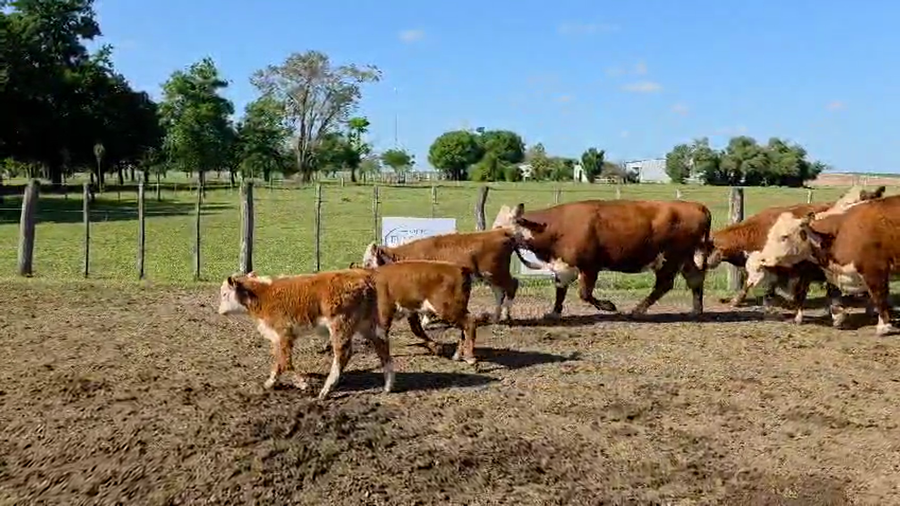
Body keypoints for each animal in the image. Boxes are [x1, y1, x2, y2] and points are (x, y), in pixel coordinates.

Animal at [217, 270, 392, 400]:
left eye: (224, 294)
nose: (219, 311)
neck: (263, 295)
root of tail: (363, 278)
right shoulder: (277, 337)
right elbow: (279, 360)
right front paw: (270, 382)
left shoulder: (284, 334)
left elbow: (285, 361)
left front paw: (302, 383)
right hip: (368, 325)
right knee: (382, 346)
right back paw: (388, 385)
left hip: (340, 325)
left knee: (343, 354)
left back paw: (326, 390)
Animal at [361, 228, 536, 324]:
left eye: (368, 263)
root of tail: (502, 232)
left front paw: (425, 321)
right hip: (490, 276)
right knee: (499, 292)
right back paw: (495, 317)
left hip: (496, 272)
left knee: (512, 285)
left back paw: (506, 315)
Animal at [492, 199, 712, 319]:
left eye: (499, 227)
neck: (552, 228)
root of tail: (697, 206)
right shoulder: (564, 266)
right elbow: (560, 290)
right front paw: (554, 312)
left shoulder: (590, 267)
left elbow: (585, 294)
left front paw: (608, 306)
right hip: (685, 257)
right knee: (695, 278)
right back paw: (696, 310)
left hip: (669, 259)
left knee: (664, 285)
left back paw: (637, 310)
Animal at [754, 193, 900, 336]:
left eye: (784, 237)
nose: (763, 259)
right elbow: (833, 293)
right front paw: (838, 316)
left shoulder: (875, 270)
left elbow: (879, 296)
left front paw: (883, 326)